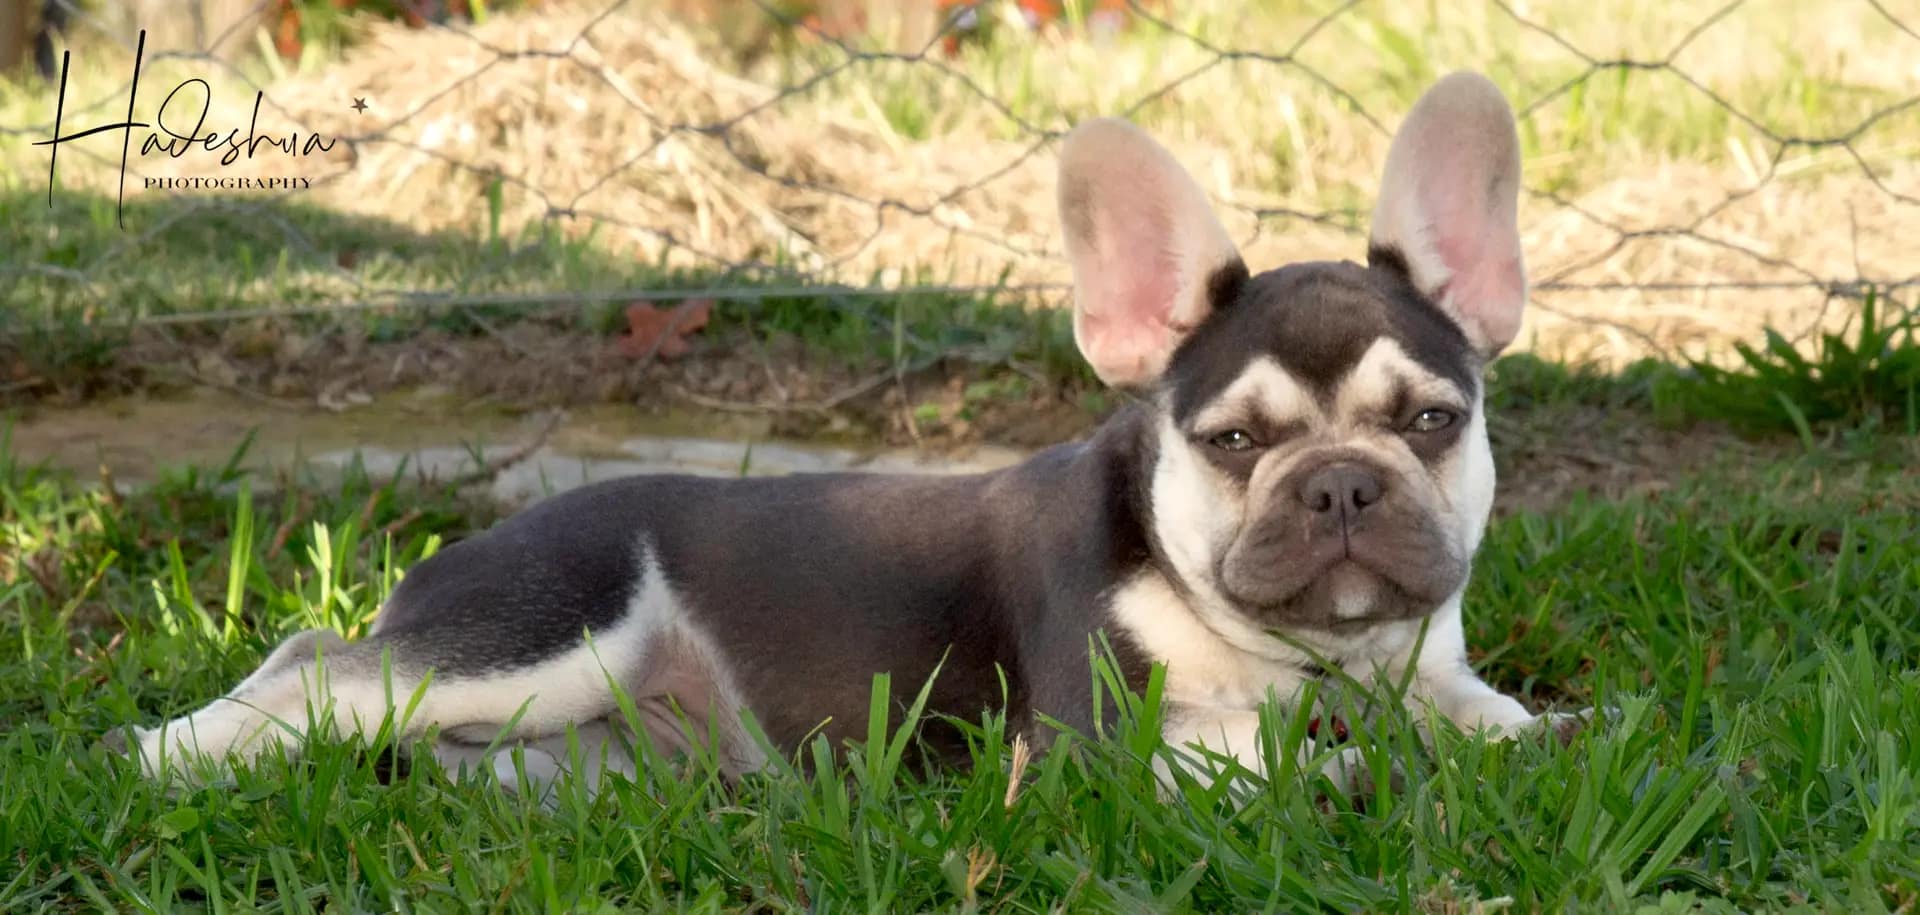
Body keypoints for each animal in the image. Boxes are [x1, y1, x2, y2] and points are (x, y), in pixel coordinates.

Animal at [112, 72, 1581, 795]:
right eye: (1231, 443)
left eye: (1432, 420)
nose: (1339, 487)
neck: (1310, 653)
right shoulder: (1098, 743)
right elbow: (1264, 751)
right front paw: (1358, 762)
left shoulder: (1431, 666)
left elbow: (1483, 710)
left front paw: (1550, 731)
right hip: (538, 634)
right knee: (315, 669)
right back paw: (167, 761)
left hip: (580, 731)